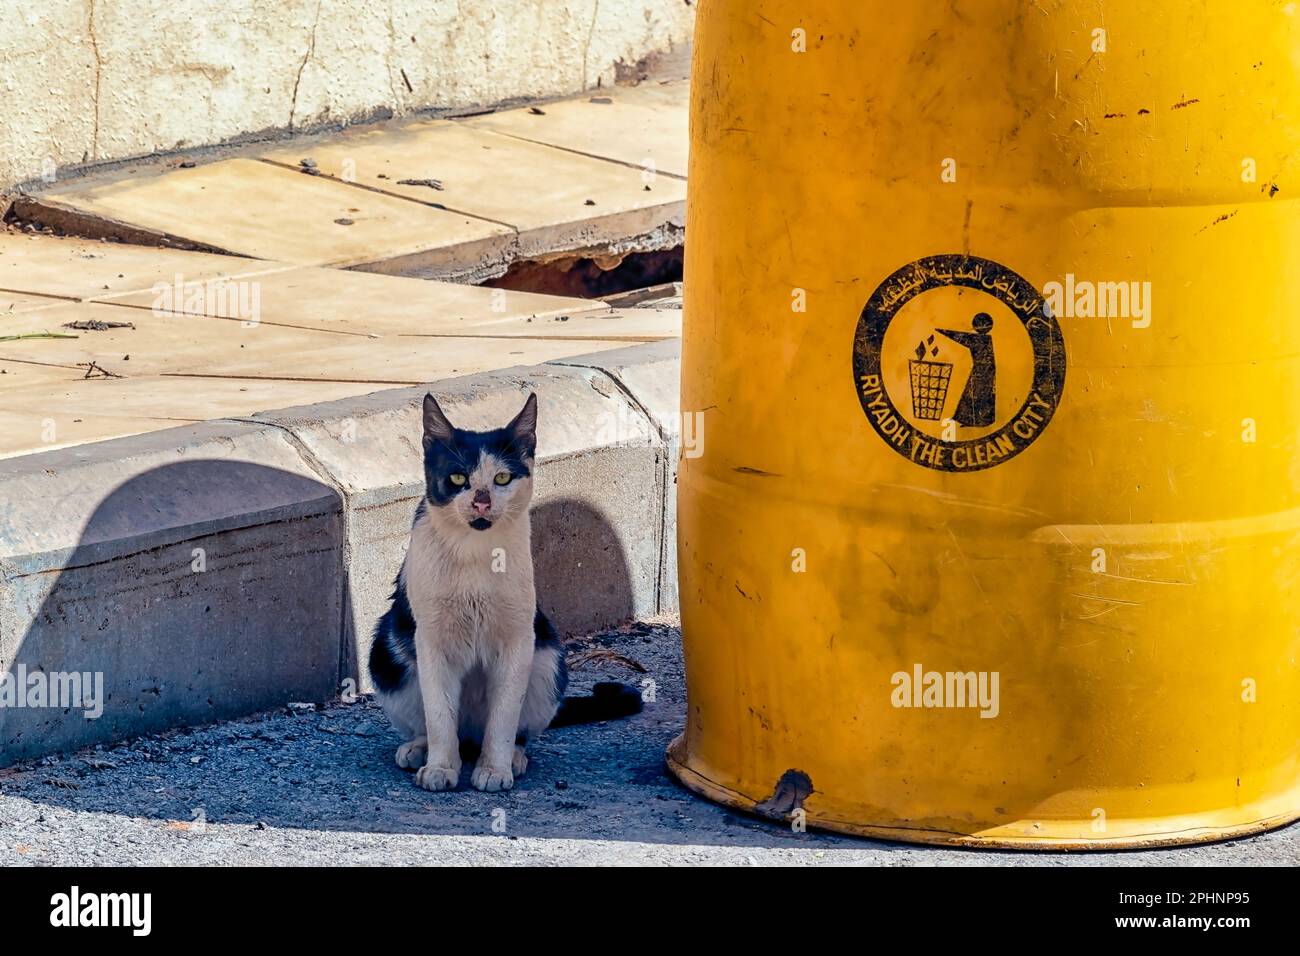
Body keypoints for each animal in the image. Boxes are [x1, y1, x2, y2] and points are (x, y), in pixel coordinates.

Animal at [369, 390, 642, 790]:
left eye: (502, 477)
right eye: (457, 477)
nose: (482, 499)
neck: (475, 553)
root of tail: (469, 736)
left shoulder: (518, 638)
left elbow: (503, 718)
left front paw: (494, 769)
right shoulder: (431, 640)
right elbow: (439, 715)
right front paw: (440, 768)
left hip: (548, 658)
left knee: (517, 731)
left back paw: (512, 757)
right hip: (388, 651)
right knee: (434, 724)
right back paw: (420, 750)